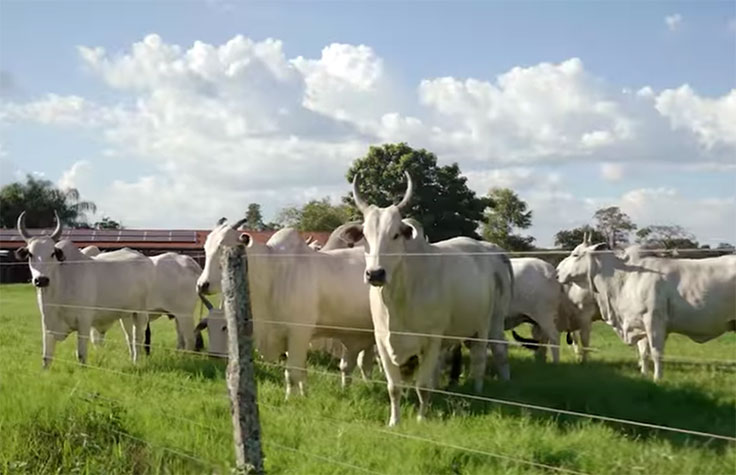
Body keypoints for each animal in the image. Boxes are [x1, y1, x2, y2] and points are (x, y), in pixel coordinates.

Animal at [15, 212, 155, 368]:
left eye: (52, 253)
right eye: (30, 254)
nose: (41, 279)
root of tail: (143, 257)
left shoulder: (84, 321)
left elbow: (81, 355)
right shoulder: (47, 323)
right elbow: (46, 357)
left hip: (141, 313)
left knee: (138, 338)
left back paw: (136, 362)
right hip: (126, 315)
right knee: (129, 337)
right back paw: (132, 361)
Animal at [196, 219, 374, 398]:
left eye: (223, 247)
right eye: (206, 248)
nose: (202, 284)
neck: (272, 273)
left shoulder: (299, 333)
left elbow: (292, 373)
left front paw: (290, 399)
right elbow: (301, 371)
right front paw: (303, 395)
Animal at [338, 173, 516, 426]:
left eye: (395, 234)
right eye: (365, 236)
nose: (375, 274)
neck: (398, 300)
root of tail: (491, 250)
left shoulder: (431, 340)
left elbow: (422, 386)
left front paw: (422, 418)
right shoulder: (382, 341)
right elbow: (394, 387)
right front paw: (394, 421)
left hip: (488, 323)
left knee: (484, 356)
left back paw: (479, 390)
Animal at [556, 236, 736, 382]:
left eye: (576, 254)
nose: (557, 272)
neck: (624, 279)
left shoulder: (653, 321)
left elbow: (656, 353)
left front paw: (658, 378)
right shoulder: (639, 324)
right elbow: (644, 353)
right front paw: (644, 375)